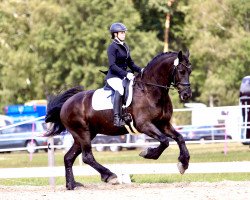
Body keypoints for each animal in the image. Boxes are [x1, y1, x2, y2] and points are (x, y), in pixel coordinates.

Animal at [45, 49, 191, 189]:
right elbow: (165, 141)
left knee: (68, 157)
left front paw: (183, 164)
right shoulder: (144, 125)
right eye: (181, 71)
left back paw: (72, 185)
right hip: (82, 133)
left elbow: (179, 138)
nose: (186, 95)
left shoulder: (163, 124)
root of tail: (65, 104)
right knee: (87, 157)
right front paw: (148, 153)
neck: (150, 90)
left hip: (84, 135)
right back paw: (110, 176)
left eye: (189, 71)